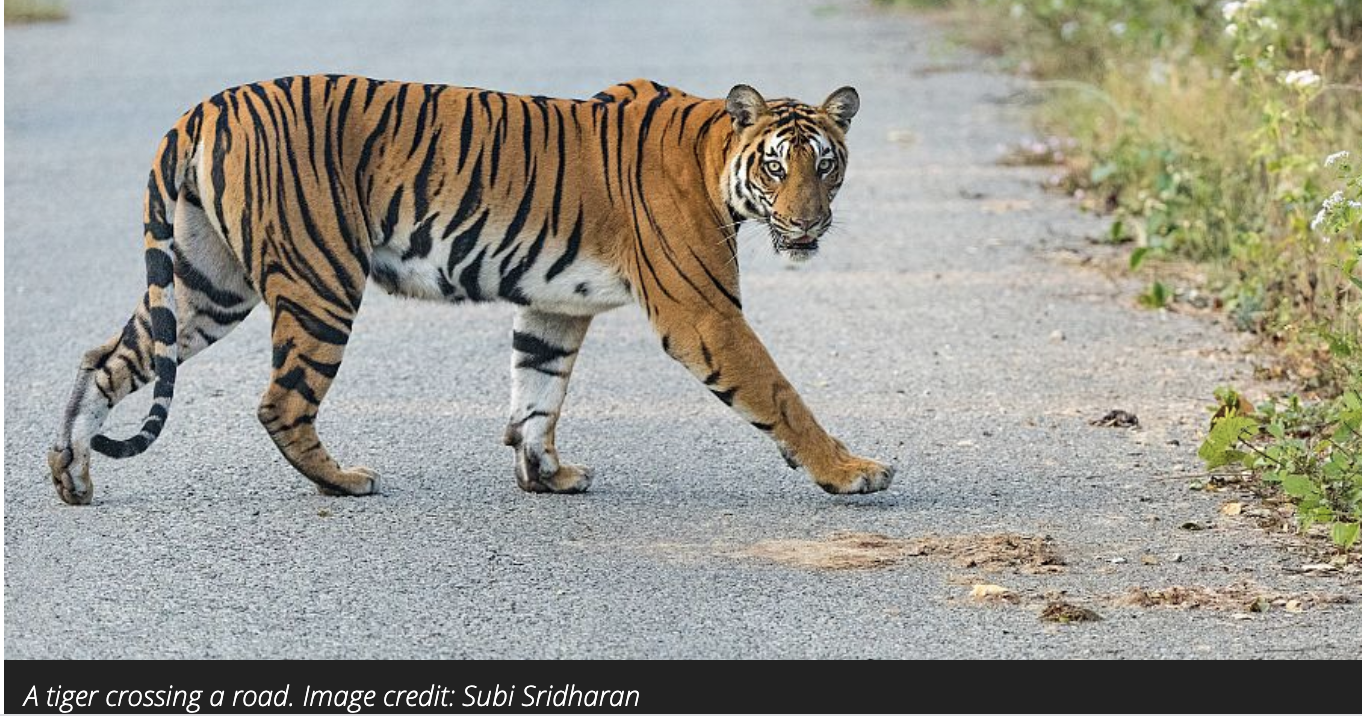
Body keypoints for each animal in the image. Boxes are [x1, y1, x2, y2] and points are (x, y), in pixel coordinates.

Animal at [47, 74, 895, 505]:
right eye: (778, 166)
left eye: (827, 166)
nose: (809, 225)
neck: (717, 158)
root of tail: (203, 107)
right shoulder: (703, 312)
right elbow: (779, 392)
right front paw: (851, 471)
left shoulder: (555, 304)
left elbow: (537, 393)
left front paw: (547, 475)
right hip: (320, 279)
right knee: (280, 401)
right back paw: (345, 481)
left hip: (208, 284)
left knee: (105, 358)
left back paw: (71, 473)